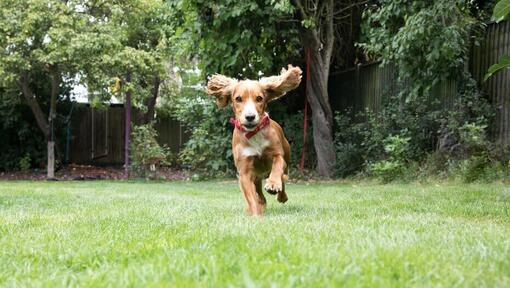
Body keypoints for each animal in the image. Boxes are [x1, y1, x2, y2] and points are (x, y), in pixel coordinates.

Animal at [206, 64, 302, 216]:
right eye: (238, 98)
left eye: (259, 98)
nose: (250, 117)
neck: (254, 134)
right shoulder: (245, 171)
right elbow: (251, 196)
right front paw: (256, 214)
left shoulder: (277, 154)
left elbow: (277, 166)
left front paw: (273, 184)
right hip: (256, 177)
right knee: (259, 194)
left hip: (286, 159)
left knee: (283, 178)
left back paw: (281, 195)